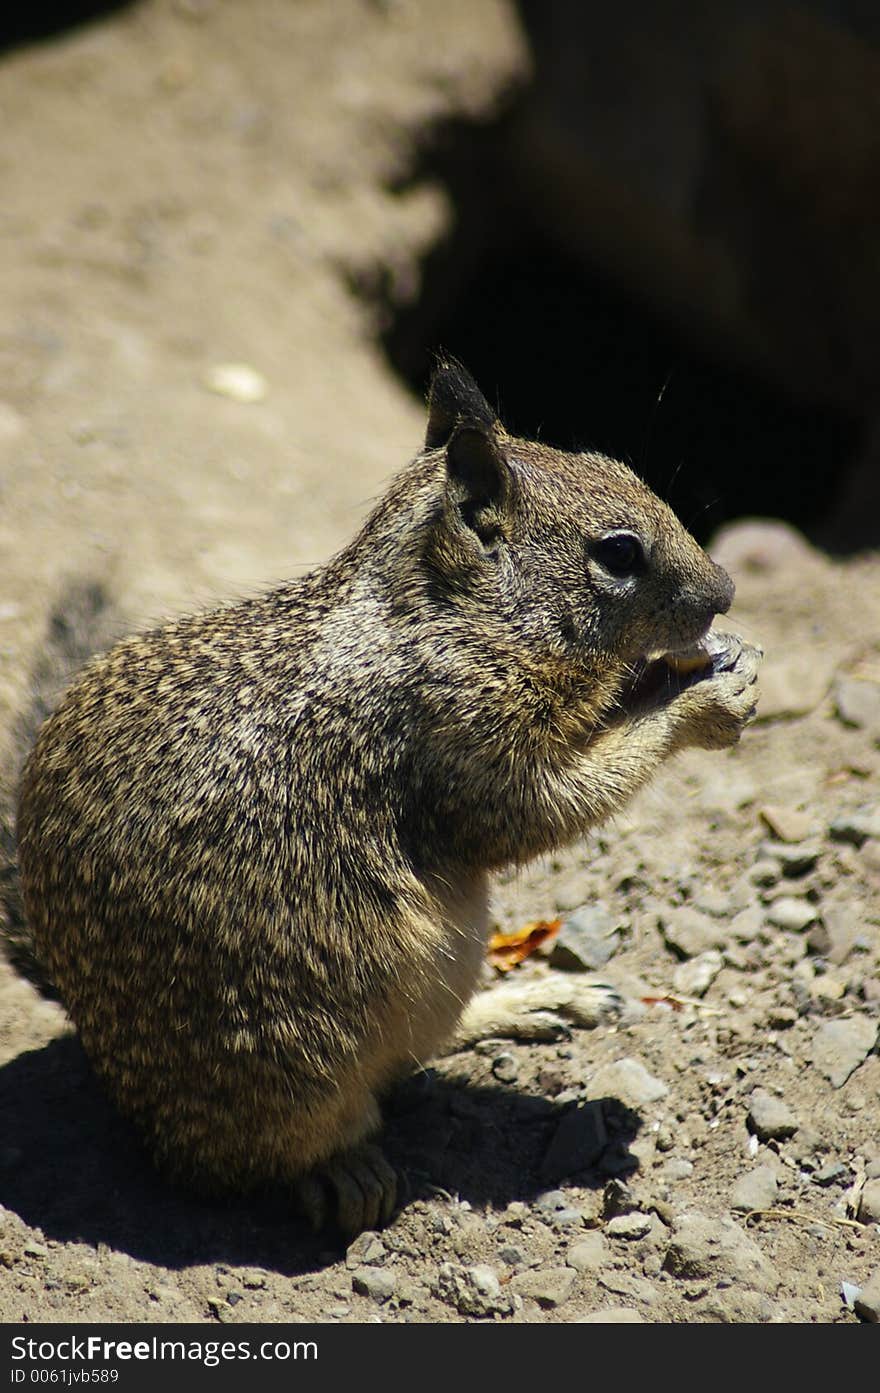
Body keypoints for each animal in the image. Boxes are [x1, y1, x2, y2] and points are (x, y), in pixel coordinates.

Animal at [13, 359, 757, 1231]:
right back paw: (344, 1168)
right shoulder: (472, 742)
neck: (445, 615)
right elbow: (550, 804)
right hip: (300, 1056)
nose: (726, 588)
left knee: (415, 1052)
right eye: (617, 553)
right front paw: (701, 702)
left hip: (450, 959)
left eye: (625, 469)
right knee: (260, 1151)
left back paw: (541, 998)